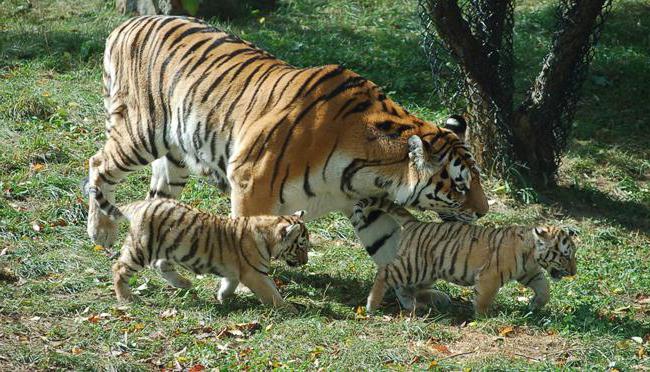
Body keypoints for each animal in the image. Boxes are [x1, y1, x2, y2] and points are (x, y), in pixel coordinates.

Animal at [88, 17, 488, 274]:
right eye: (460, 186)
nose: (484, 213)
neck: (372, 171)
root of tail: (126, 25)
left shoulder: (366, 203)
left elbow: (388, 246)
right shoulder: (250, 182)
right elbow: (247, 237)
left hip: (174, 159)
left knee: (157, 199)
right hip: (141, 133)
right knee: (98, 164)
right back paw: (101, 231)